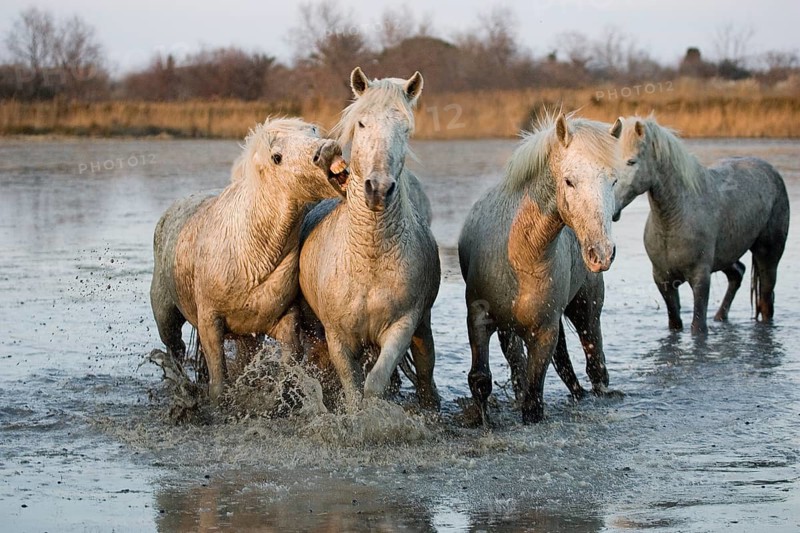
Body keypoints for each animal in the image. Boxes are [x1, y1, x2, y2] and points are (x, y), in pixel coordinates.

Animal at [149, 117, 348, 401]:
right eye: (277, 157)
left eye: (313, 131)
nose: (328, 150)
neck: (250, 252)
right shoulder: (210, 324)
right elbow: (219, 380)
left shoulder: (284, 322)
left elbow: (288, 366)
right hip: (167, 317)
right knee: (174, 350)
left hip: (247, 338)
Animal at [298, 67, 441, 409]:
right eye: (362, 123)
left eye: (405, 128)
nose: (378, 189)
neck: (369, 257)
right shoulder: (337, 338)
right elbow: (352, 388)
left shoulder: (401, 327)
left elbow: (375, 383)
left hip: (422, 331)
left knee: (425, 372)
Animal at [458, 112, 623, 424]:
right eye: (569, 181)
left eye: (614, 181)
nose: (601, 253)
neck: (523, 257)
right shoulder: (480, 318)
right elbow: (480, 380)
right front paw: (483, 422)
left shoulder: (546, 330)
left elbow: (534, 399)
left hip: (586, 310)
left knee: (594, 364)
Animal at [611, 116, 790, 334]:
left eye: (631, 161)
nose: (610, 206)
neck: (672, 221)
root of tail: (771, 171)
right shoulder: (663, 280)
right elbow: (675, 323)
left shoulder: (700, 279)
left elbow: (698, 326)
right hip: (727, 256)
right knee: (738, 273)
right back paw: (720, 318)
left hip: (768, 255)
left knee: (765, 301)